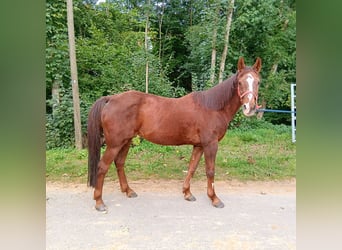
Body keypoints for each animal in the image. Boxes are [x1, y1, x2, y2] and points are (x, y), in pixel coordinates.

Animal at [87, 57, 260, 211]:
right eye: (240, 82)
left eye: (258, 82)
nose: (250, 107)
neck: (212, 107)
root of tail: (111, 99)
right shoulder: (210, 144)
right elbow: (210, 171)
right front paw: (215, 199)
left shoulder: (199, 145)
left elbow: (192, 167)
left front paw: (187, 193)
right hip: (114, 144)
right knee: (102, 167)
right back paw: (99, 202)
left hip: (126, 141)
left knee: (119, 163)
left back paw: (128, 191)